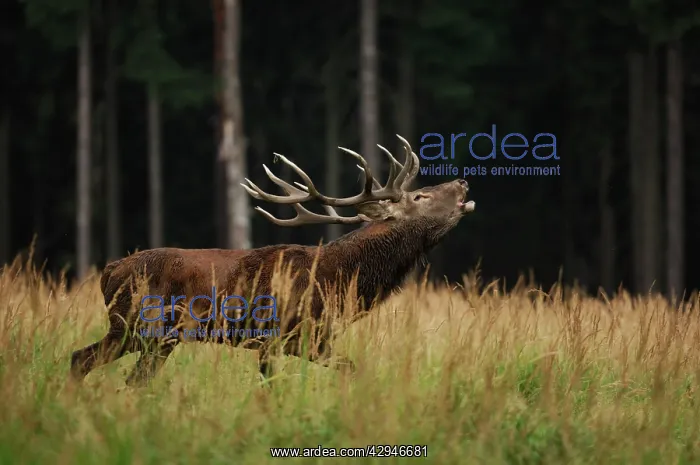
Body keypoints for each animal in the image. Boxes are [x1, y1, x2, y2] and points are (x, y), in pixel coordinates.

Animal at [69, 134, 475, 387]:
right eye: (420, 196)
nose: (461, 182)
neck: (338, 280)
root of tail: (109, 271)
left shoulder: (314, 340)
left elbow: (353, 369)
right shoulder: (273, 336)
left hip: (153, 336)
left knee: (105, 368)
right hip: (138, 326)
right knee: (87, 361)